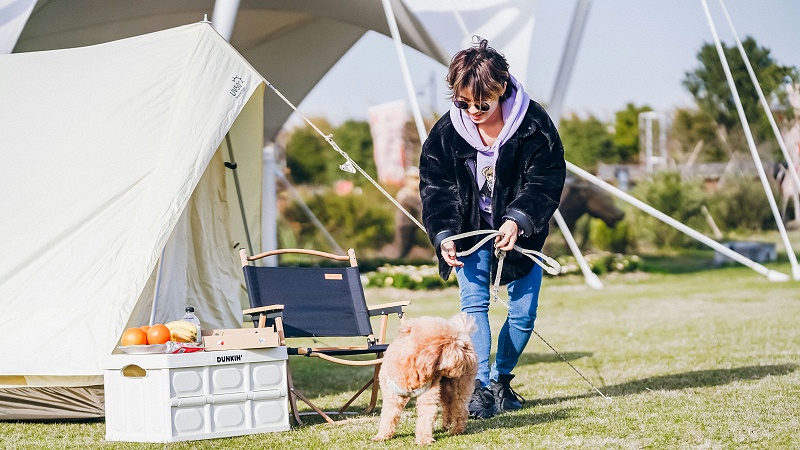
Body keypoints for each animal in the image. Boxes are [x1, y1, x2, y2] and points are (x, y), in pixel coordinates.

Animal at [374, 314, 478, 444]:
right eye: (463, 347)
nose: (471, 358)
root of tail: (464, 330)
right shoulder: (392, 395)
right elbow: (388, 415)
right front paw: (382, 436)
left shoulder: (428, 395)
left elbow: (426, 417)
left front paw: (424, 440)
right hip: (445, 387)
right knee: (448, 405)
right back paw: (447, 425)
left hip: (460, 386)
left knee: (460, 409)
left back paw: (457, 430)